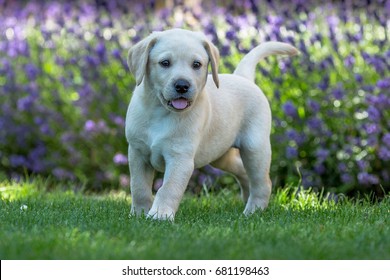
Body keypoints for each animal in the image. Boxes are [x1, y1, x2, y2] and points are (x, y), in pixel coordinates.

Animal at [126, 29, 298, 221]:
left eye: (197, 64)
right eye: (165, 63)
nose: (182, 86)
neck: (159, 112)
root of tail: (242, 77)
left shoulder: (180, 159)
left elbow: (168, 188)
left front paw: (160, 215)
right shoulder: (137, 153)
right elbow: (138, 187)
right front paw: (138, 214)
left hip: (255, 148)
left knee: (262, 182)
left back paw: (253, 210)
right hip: (220, 155)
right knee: (244, 172)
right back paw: (247, 200)